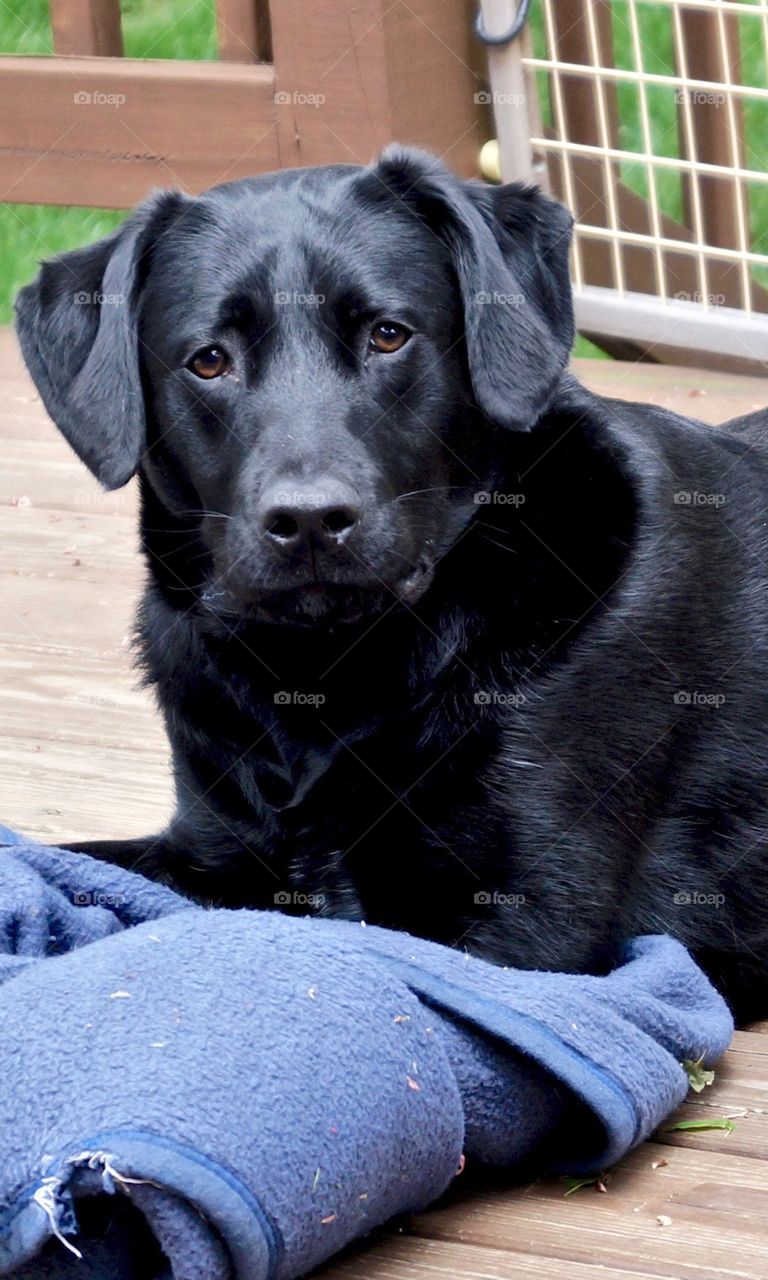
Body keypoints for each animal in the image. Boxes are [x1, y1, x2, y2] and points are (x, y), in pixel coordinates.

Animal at [15, 147, 768, 1018]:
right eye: (208, 359)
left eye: (387, 335)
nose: (309, 520)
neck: (322, 682)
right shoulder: (209, 852)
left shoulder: (526, 930)